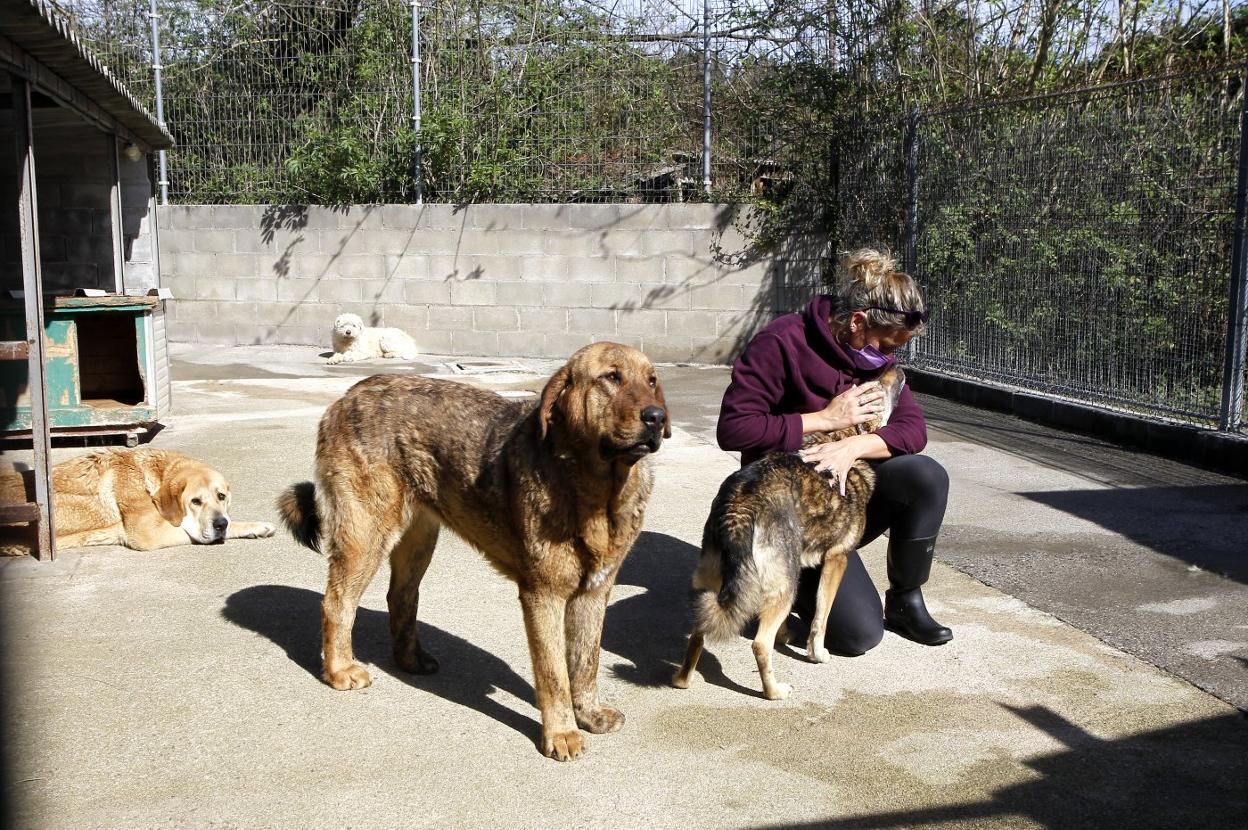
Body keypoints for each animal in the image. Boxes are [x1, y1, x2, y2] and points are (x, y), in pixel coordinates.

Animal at [278, 339, 668, 758]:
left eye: (651, 380)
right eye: (611, 377)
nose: (657, 417)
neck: (598, 492)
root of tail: (347, 396)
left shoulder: (594, 592)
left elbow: (585, 662)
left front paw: (589, 714)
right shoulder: (542, 596)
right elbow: (553, 674)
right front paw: (562, 733)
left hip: (419, 540)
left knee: (401, 597)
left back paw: (410, 660)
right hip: (365, 533)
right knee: (337, 603)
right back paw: (340, 670)